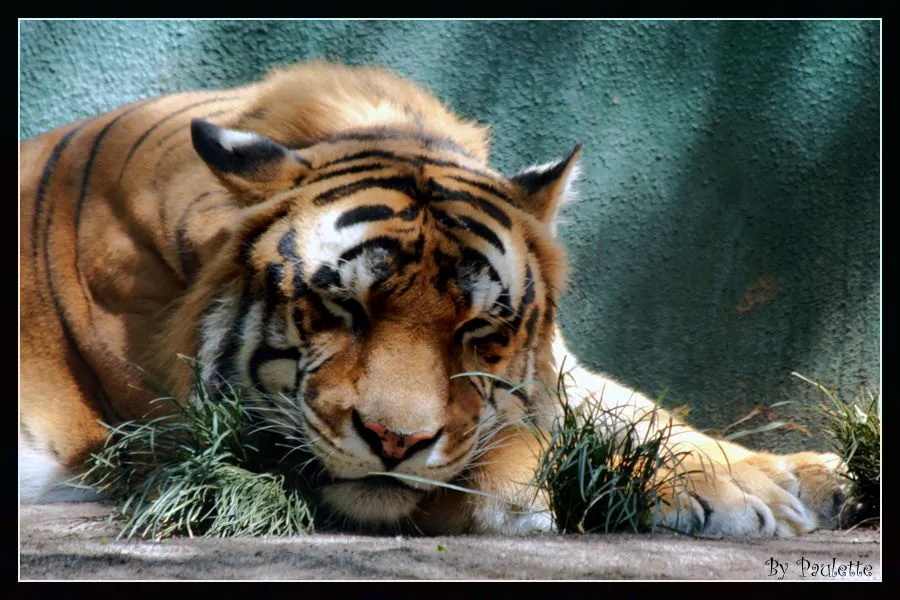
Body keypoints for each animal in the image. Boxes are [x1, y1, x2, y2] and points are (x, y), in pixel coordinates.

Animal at [20, 61, 851, 536]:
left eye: (479, 328)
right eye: (342, 309)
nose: (395, 443)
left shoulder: (554, 370)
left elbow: (642, 410)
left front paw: (799, 476)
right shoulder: (208, 441)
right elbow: (527, 449)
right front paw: (732, 496)